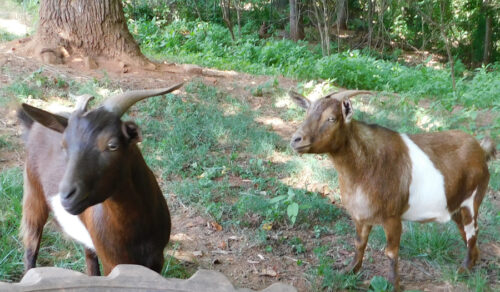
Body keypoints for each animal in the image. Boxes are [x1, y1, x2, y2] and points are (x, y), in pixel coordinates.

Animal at [20, 83, 184, 274]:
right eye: (64, 146)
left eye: (112, 145)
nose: (67, 196)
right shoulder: (113, 262)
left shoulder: (157, 259)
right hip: (33, 195)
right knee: (31, 247)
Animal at [290, 90, 496, 290]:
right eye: (306, 114)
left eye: (332, 118)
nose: (296, 140)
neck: (365, 166)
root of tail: (480, 149)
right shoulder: (360, 216)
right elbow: (359, 244)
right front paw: (349, 271)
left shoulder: (392, 217)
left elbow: (391, 252)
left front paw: (393, 284)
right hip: (454, 206)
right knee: (465, 232)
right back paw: (473, 262)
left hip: (472, 200)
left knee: (472, 231)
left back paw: (464, 269)